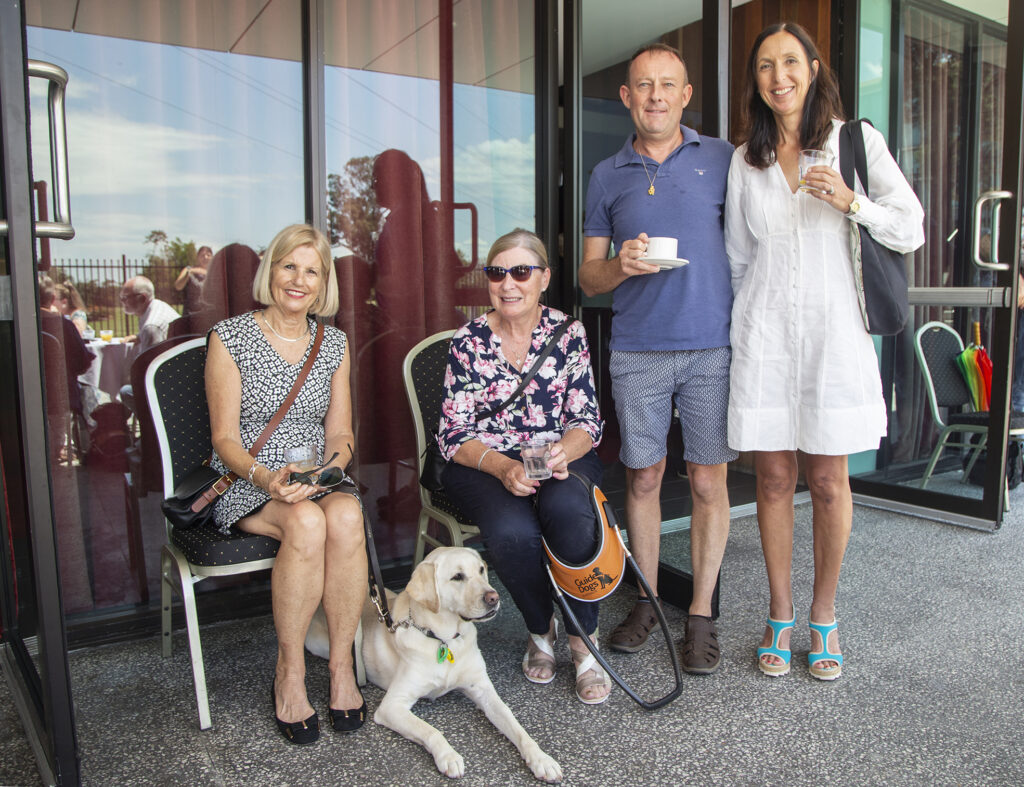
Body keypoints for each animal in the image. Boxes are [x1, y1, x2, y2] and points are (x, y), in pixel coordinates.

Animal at [303, 548, 561, 777]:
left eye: (481, 569)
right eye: (457, 577)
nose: (494, 597)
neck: (444, 639)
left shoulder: (484, 690)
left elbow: (516, 725)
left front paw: (541, 759)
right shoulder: (391, 706)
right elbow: (430, 731)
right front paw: (449, 756)